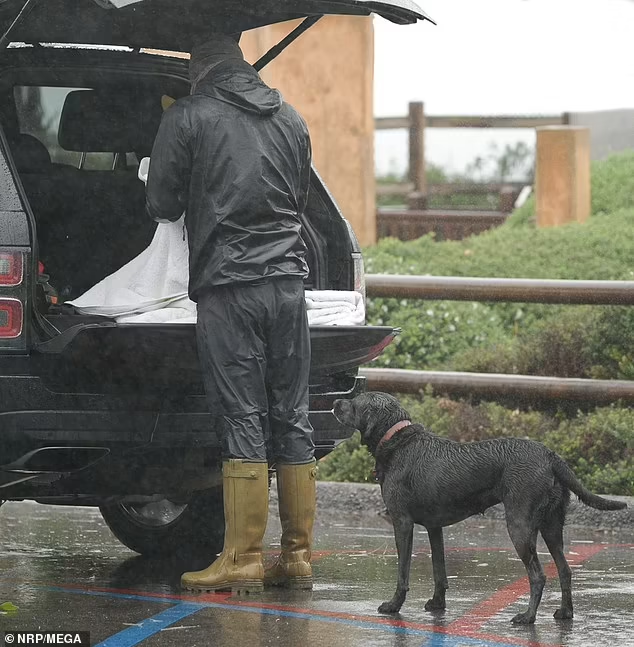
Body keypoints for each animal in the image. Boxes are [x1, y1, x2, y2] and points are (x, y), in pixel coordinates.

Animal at [334, 392, 624, 624]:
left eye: (354, 402)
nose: (335, 401)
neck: (397, 439)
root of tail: (551, 456)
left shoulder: (402, 522)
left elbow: (402, 572)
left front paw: (394, 606)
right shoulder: (434, 527)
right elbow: (439, 570)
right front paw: (437, 604)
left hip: (519, 525)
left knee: (538, 575)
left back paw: (527, 617)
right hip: (552, 526)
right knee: (564, 570)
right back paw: (565, 613)